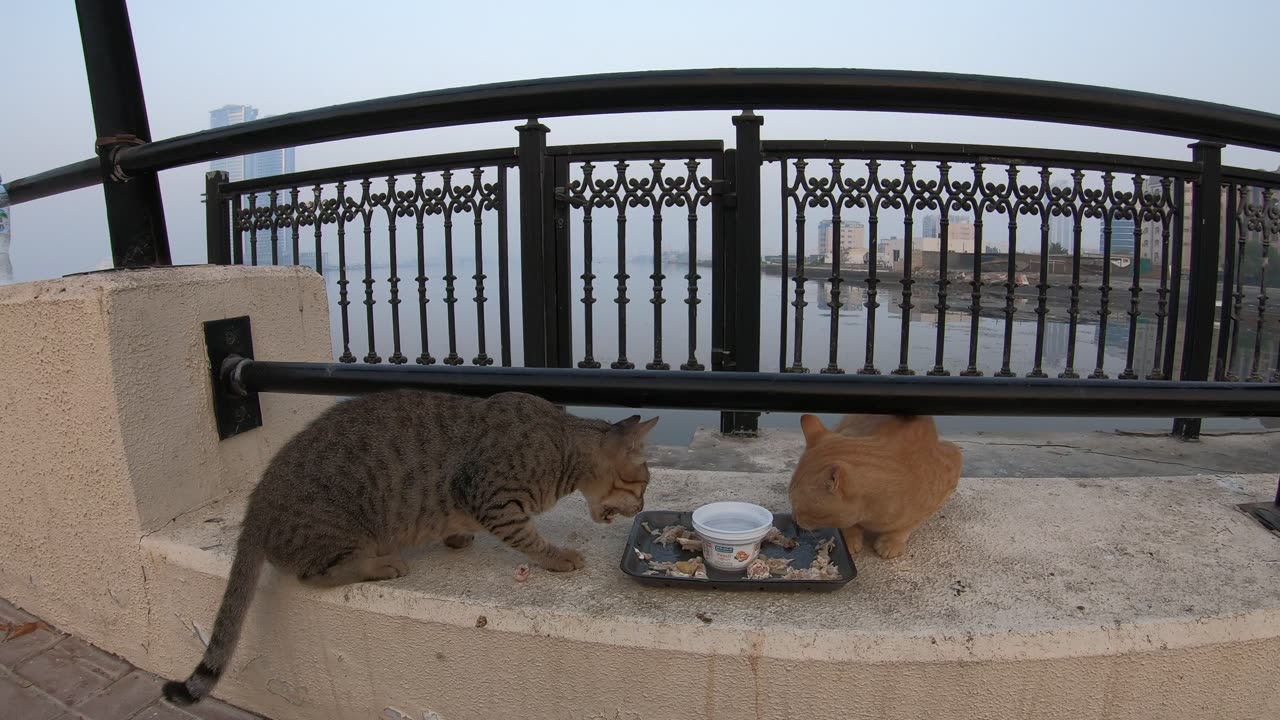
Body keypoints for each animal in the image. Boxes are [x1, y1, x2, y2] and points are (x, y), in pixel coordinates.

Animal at [162, 389, 660, 702]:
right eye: (643, 484)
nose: (641, 507)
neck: (562, 447)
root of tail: (258, 500)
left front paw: (457, 536)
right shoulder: (492, 497)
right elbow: (528, 537)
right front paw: (558, 556)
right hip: (337, 529)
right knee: (314, 573)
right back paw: (382, 564)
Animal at [788, 412, 962, 558]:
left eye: (800, 509)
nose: (793, 519)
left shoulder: (953, 463)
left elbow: (910, 524)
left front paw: (892, 541)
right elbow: (849, 524)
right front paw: (850, 537)